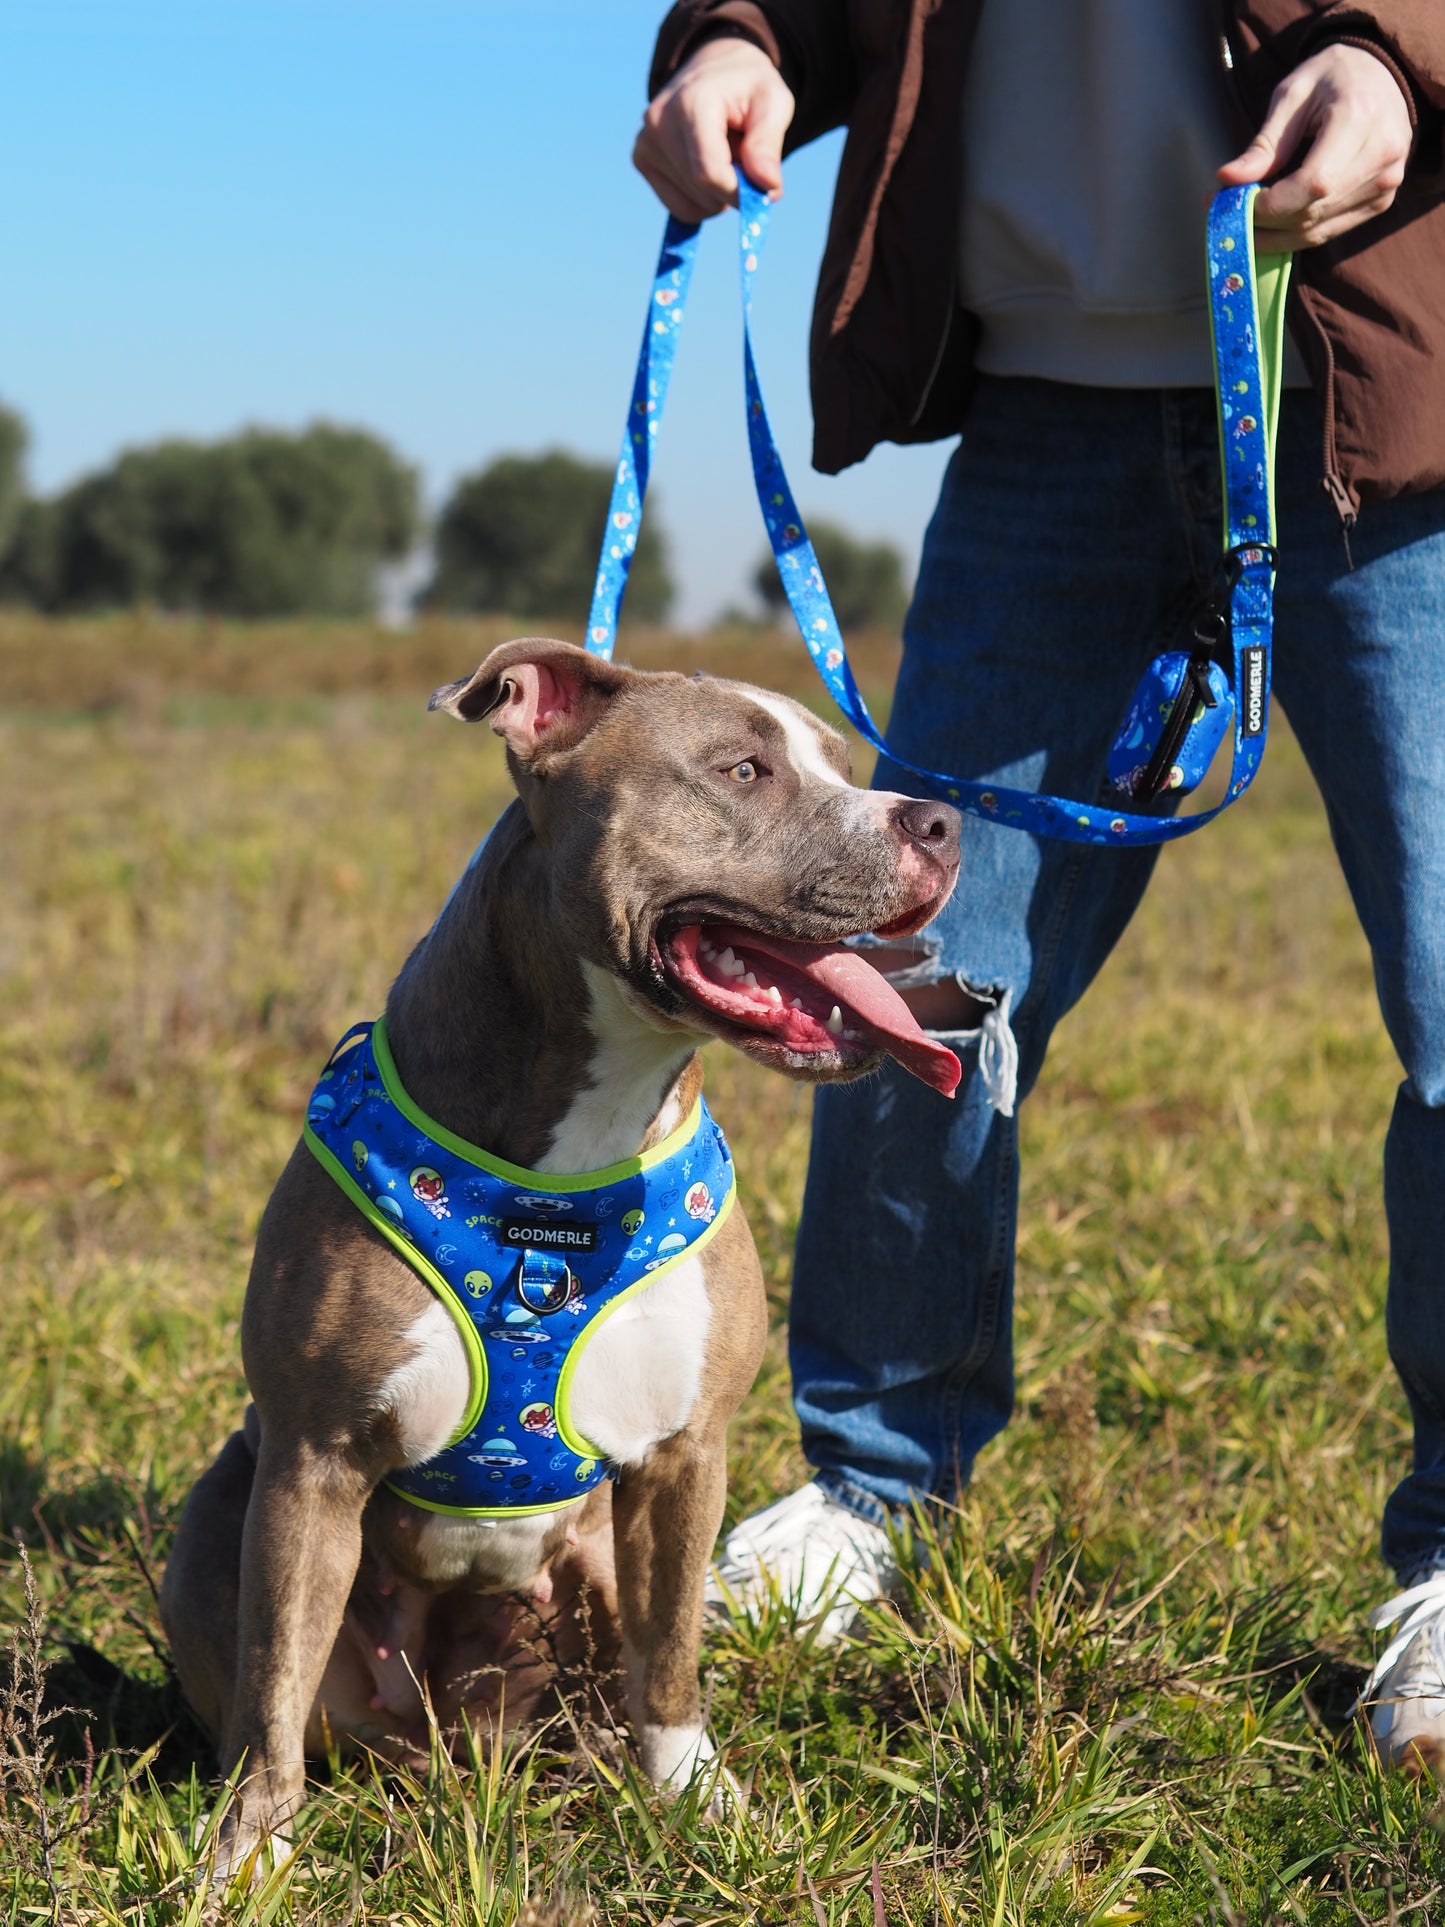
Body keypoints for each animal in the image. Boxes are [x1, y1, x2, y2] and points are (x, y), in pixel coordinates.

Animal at [160, 639, 963, 1873]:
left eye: (843, 763)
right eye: (740, 769)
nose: (939, 820)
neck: (576, 1162)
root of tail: (445, 1727)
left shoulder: (687, 1457)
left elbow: (669, 1657)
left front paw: (698, 1801)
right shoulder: (312, 1461)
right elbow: (270, 1691)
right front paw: (249, 1856)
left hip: (583, 1581)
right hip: (221, 1521)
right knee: (277, 1689)